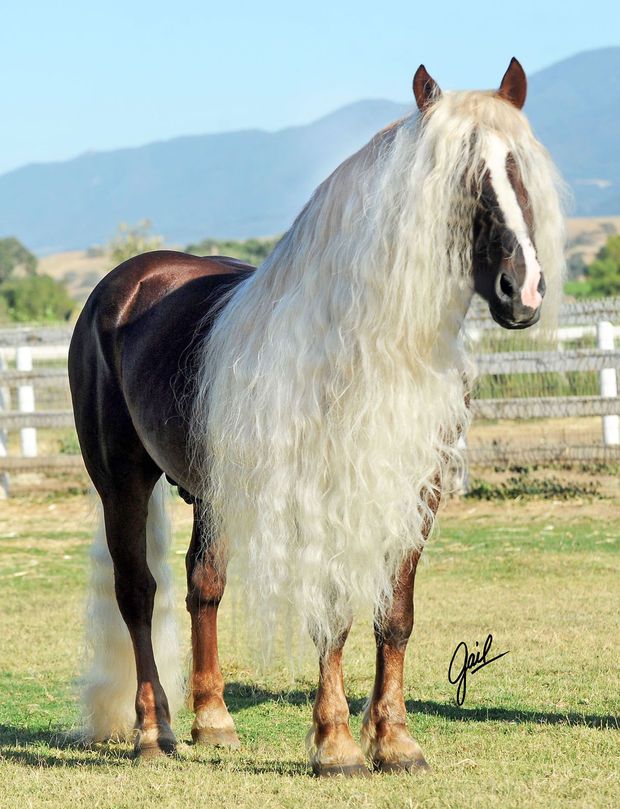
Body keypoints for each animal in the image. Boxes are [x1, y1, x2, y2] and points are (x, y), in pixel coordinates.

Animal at [69, 60, 568, 772]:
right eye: (457, 176)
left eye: (517, 167)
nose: (521, 291)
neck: (372, 346)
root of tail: (128, 281)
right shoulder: (323, 495)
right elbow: (333, 614)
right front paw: (335, 746)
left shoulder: (417, 495)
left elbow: (395, 614)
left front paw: (395, 741)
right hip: (122, 480)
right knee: (138, 592)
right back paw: (152, 731)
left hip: (213, 491)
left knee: (203, 584)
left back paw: (213, 721)